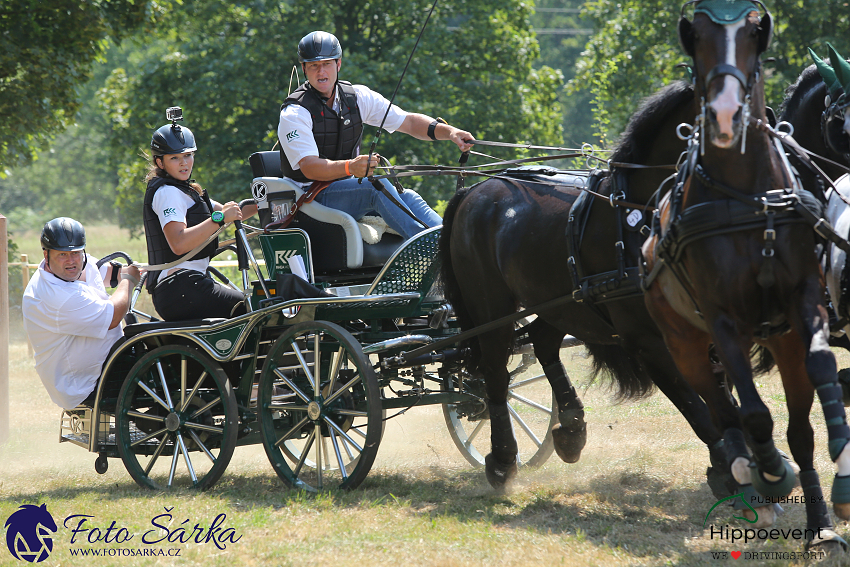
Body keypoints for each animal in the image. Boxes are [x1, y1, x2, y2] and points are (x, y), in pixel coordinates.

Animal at [438, 77, 744, 494]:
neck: (642, 214)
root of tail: (473, 191)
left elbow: (722, 398)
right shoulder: (646, 341)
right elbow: (696, 405)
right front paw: (731, 468)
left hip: (562, 302)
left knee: (541, 341)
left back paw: (570, 430)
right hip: (490, 307)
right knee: (496, 372)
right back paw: (502, 461)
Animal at [644, 0, 848, 552]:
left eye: (756, 38)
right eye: (696, 40)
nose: (725, 114)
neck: (749, 201)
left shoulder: (805, 305)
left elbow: (824, 373)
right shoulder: (722, 320)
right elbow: (752, 412)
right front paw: (771, 471)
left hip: (778, 338)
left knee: (792, 426)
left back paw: (815, 520)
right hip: (683, 342)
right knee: (720, 409)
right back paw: (749, 470)